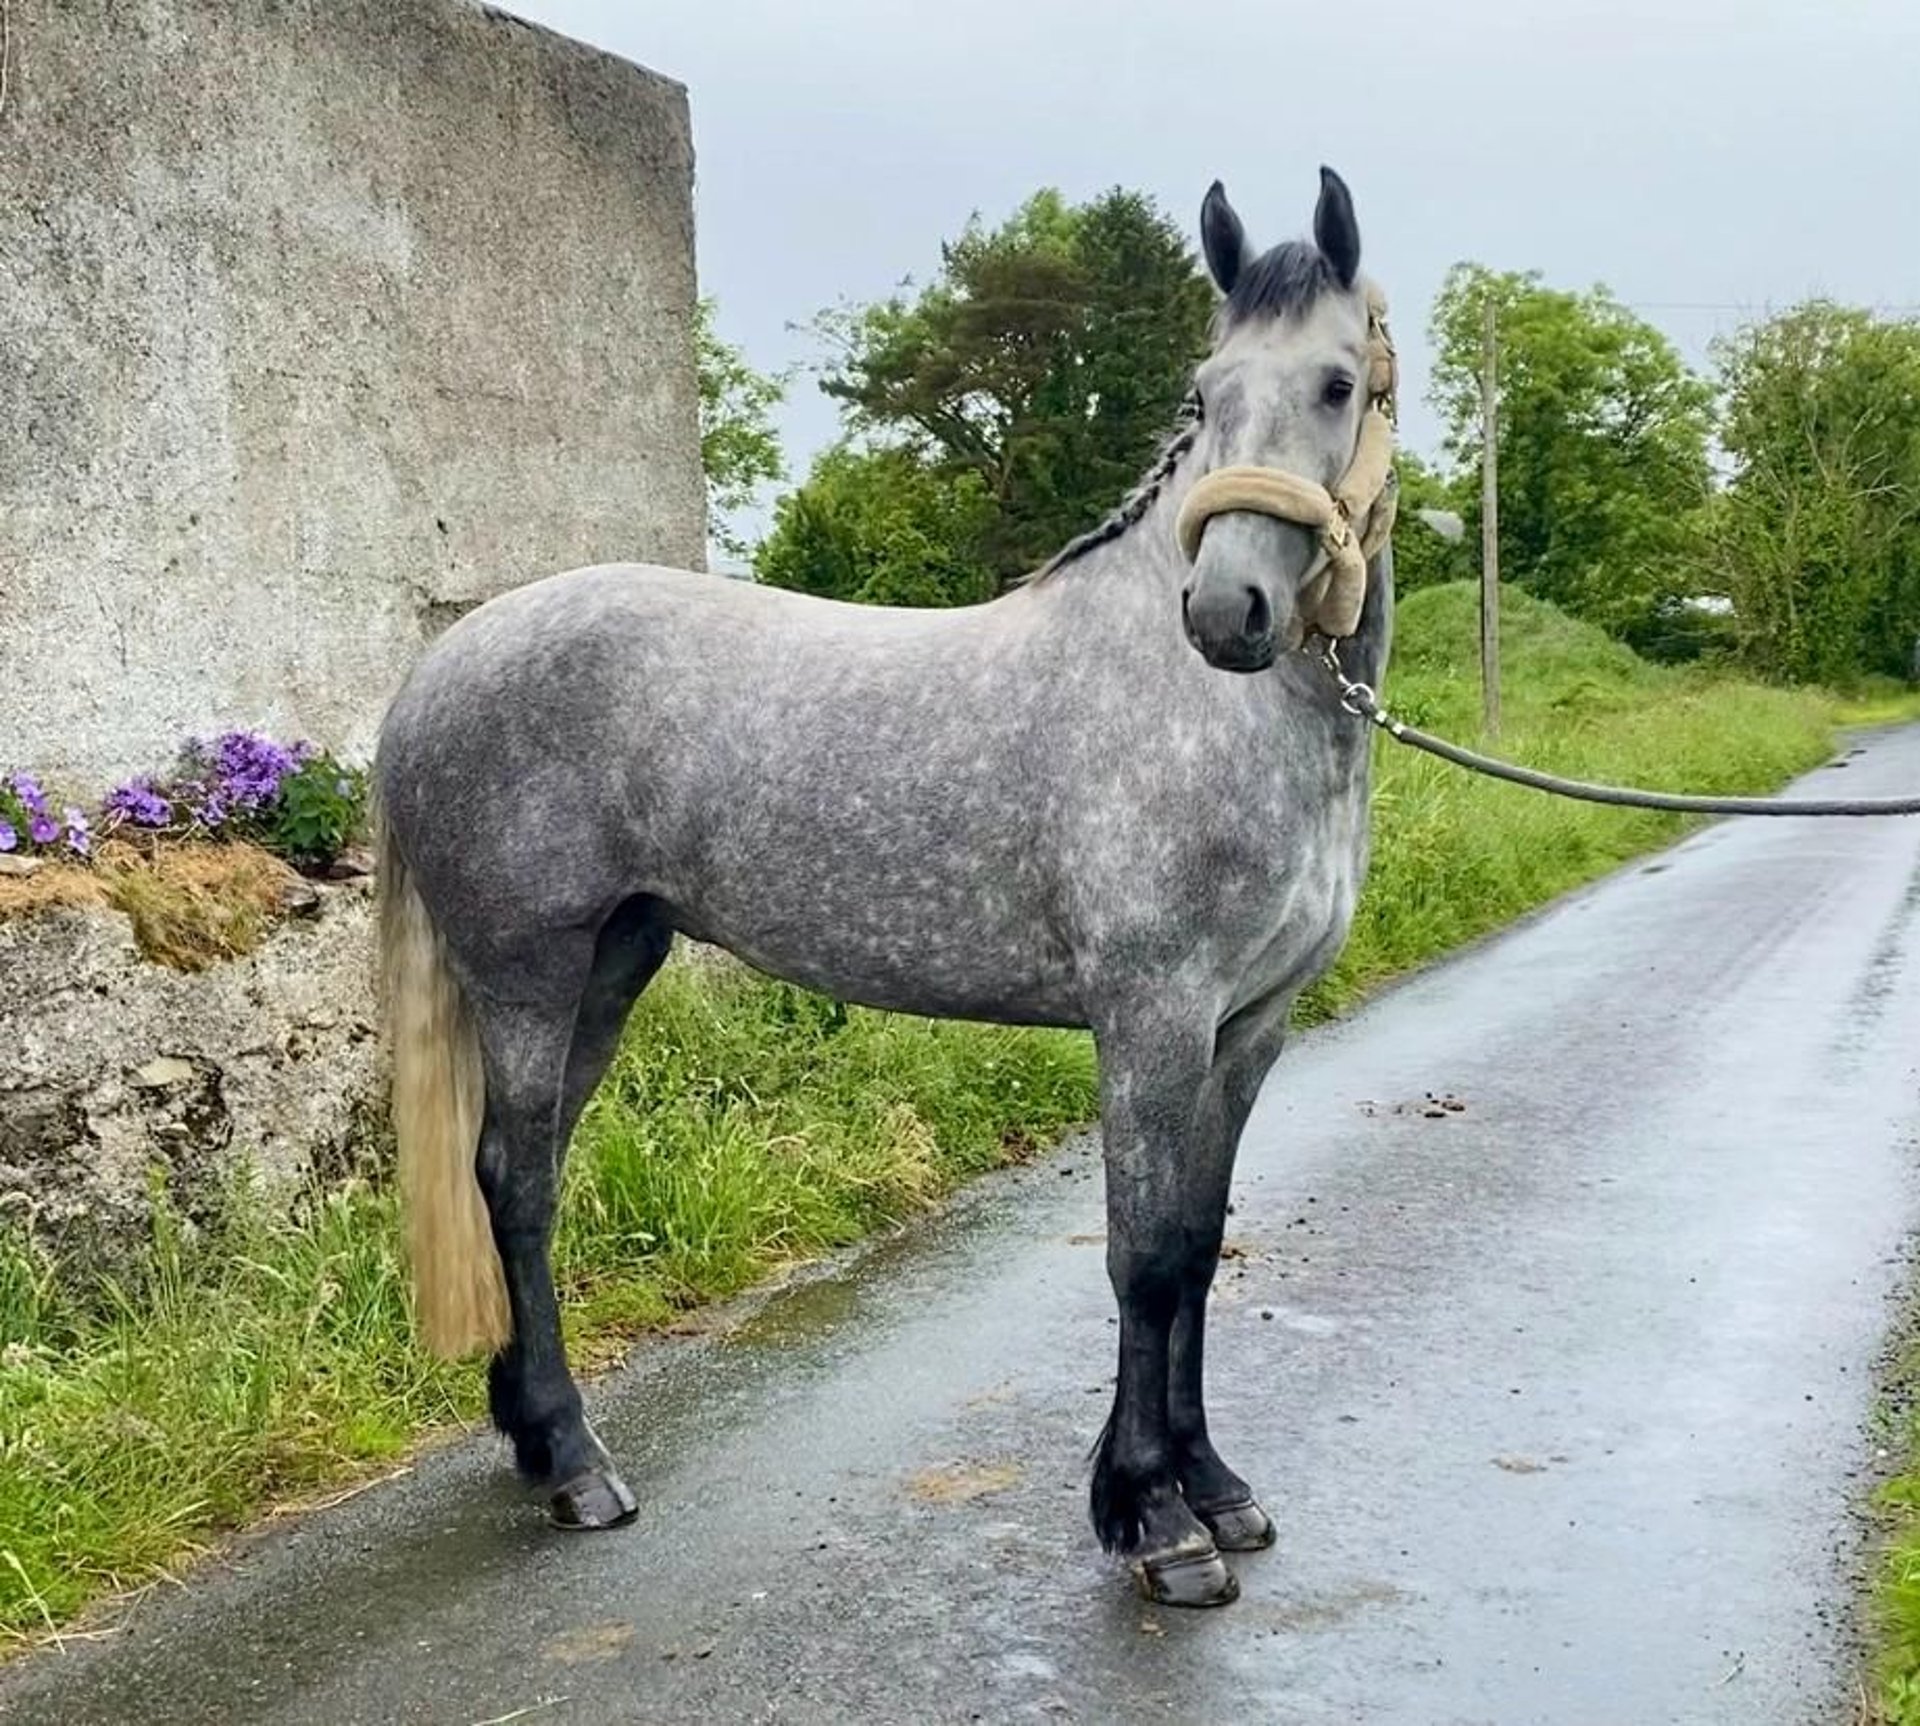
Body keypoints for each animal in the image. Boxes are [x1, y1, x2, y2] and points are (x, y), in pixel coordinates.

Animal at [378, 165, 1397, 1605]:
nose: (1227, 611)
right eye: (1208, 391)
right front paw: (1156, 1520)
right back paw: (576, 1466)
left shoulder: (1250, 1026)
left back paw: (534, 1435)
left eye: (1335, 383)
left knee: (529, 1172)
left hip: (611, 964)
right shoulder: (1152, 1018)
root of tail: (436, 670)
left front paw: (1214, 1488)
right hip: (528, 973)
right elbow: (1142, 1255)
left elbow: (1197, 1248)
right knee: (516, 1184)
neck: (1201, 707)